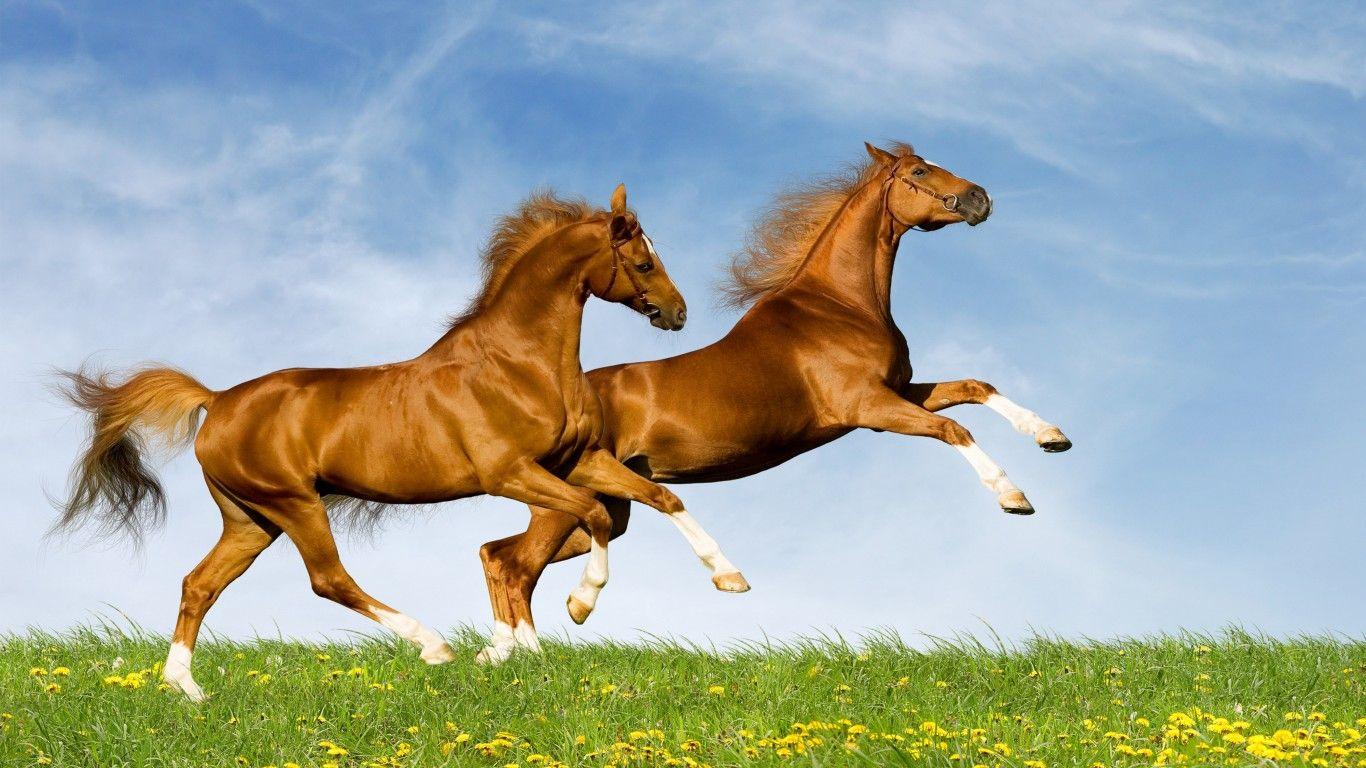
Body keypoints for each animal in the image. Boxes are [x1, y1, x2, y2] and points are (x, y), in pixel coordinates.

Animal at [53, 184, 745, 700]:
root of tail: (217, 399)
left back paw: (185, 689)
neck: (517, 363)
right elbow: (593, 515)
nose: (678, 312)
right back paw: (434, 645)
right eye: (644, 261)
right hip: (293, 503)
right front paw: (578, 606)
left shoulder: (577, 461)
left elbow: (660, 497)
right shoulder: (509, 472)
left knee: (199, 584)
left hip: (250, 518)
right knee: (328, 580)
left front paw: (729, 578)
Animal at [477, 143, 1071, 648]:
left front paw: (1051, 436)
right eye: (920, 172)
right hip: (569, 504)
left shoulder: (901, 390)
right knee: (515, 567)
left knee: (498, 554)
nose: (980, 198)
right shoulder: (871, 407)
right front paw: (1013, 496)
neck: (841, 305)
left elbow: (976, 387)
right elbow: (955, 428)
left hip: (602, 508)